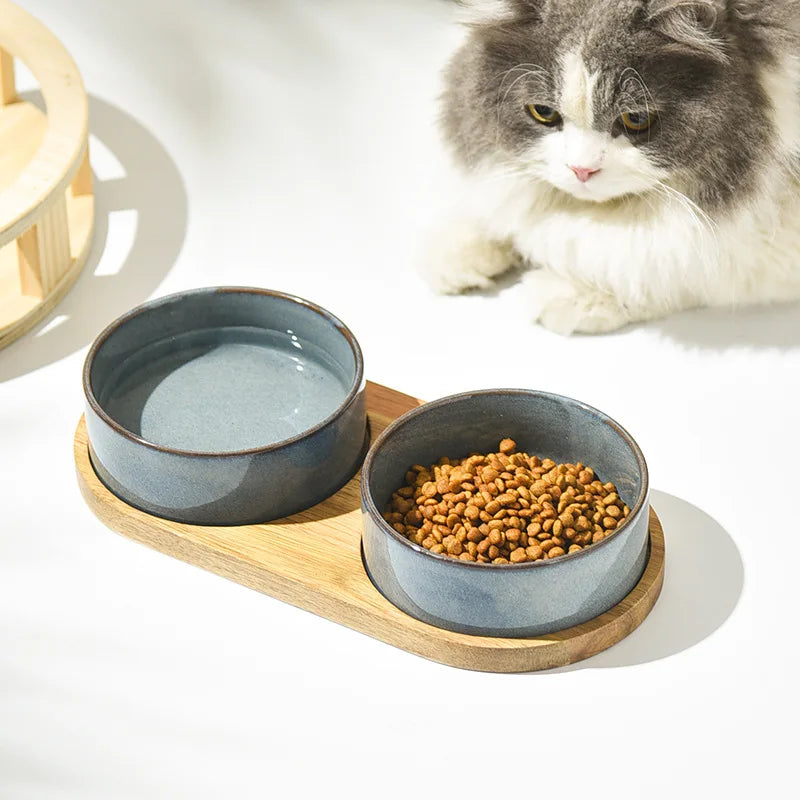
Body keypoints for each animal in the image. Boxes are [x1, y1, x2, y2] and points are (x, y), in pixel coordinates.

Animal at [428, 0, 800, 334]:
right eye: (543, 113)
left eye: (635, 119)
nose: (581, 170)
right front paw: (457, 248)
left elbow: (674, 264)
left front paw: (570, 294)